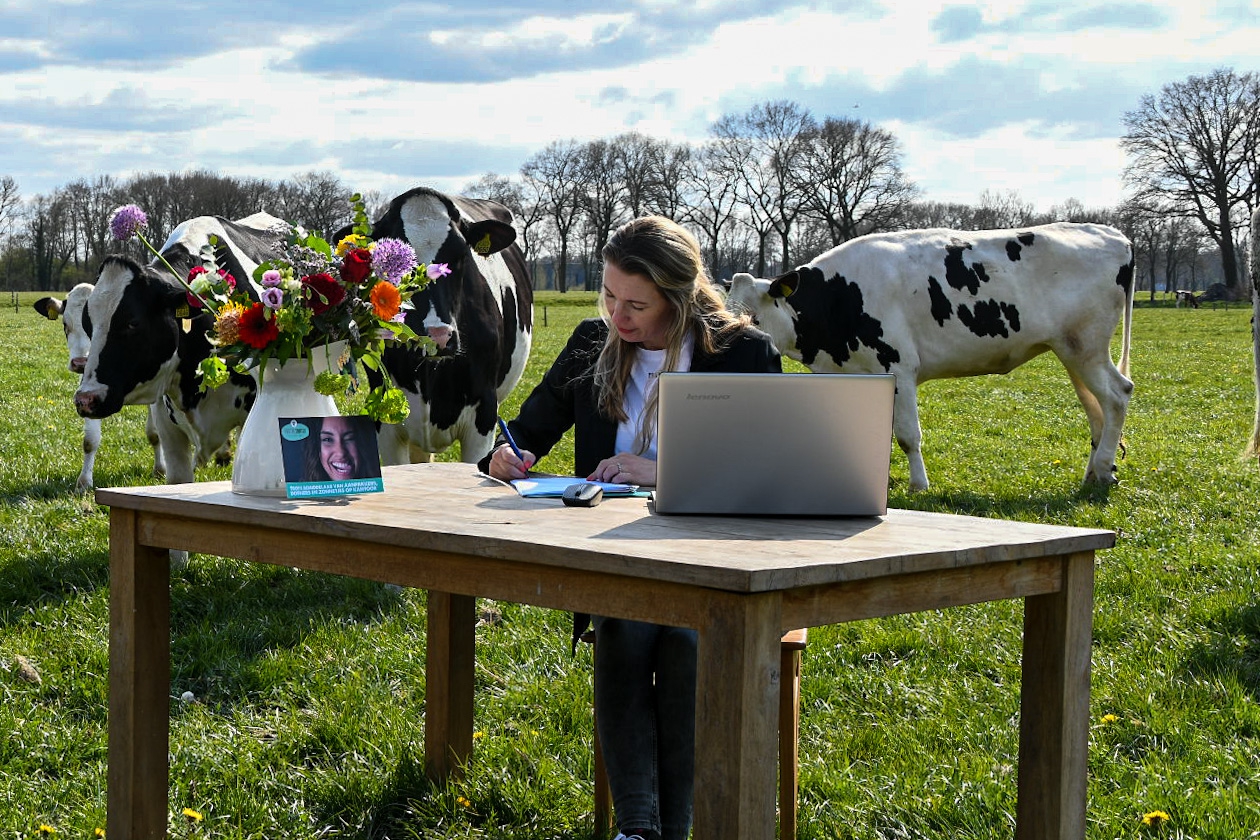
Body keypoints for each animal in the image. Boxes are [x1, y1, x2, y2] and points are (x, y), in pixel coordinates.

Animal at [725, 221, 1139, 493]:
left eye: (754, 318)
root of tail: (1112, 234)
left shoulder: (898, 368)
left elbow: (908, 435)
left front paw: (918, 485)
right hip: (1071, 351)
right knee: (1097, 410)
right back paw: (1095, 474)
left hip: (1086, 346)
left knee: (1117, 395)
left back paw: (1104, 470)